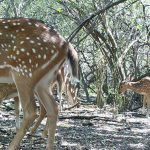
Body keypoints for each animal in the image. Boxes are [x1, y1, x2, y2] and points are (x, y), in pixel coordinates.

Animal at [0, 17, 79, 150]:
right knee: (53, 108)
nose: (77, 103)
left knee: (31, 111)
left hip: (25, 72)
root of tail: (66, 45)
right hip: (43, 82)